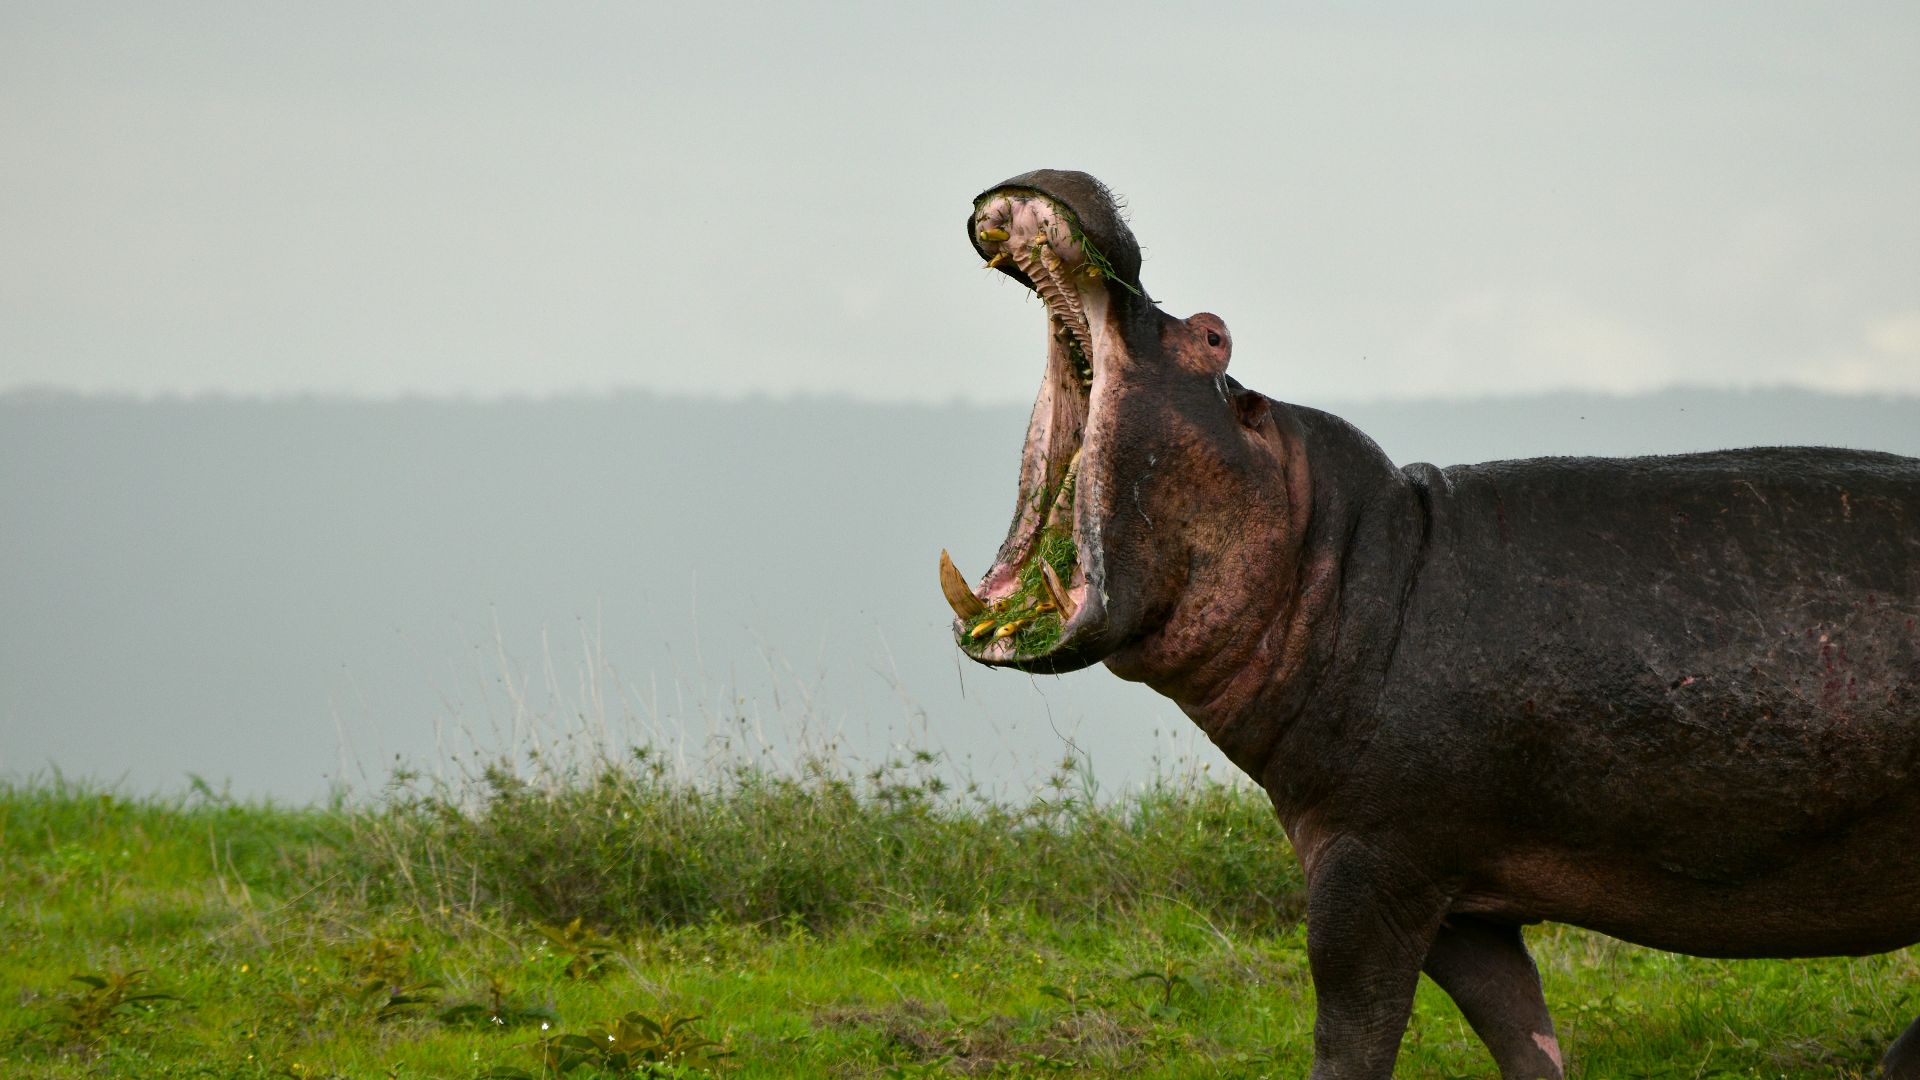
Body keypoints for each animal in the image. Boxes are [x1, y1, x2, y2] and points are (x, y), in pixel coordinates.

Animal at [938, 169, 1920, 1078]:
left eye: (1213, 334)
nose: (1076, 182)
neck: (1330, 558)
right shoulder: (1460, 901)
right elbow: (1520, 1028)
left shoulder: (1370, 861)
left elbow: (1350, 1031)